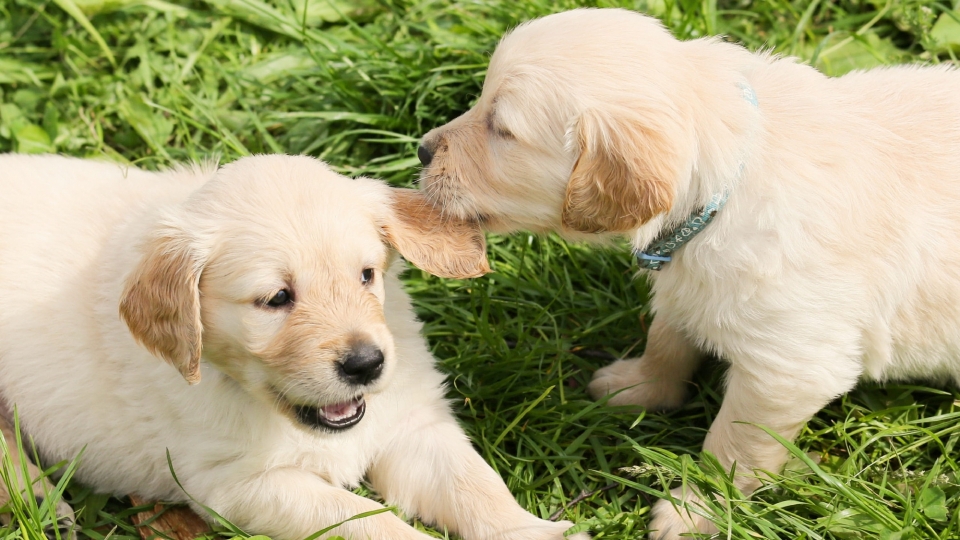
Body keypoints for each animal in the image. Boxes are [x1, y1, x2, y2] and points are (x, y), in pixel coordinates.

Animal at [0, 154, 588, 540]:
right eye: (276, 298)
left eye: (366, 275)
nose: (366, 364)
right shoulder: (239, 484)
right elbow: (373, 523)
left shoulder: (413, 425)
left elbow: (477, 486)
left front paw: (534, 530)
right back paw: (36, 498)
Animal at [416, 8, 960, 540]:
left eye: (502, 129)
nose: (421, 149)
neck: (724, 188)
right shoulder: (686, 283)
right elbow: (666, 340)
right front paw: (639, 388)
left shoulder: (788, 369)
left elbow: (733, 447)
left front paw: (698, 510)